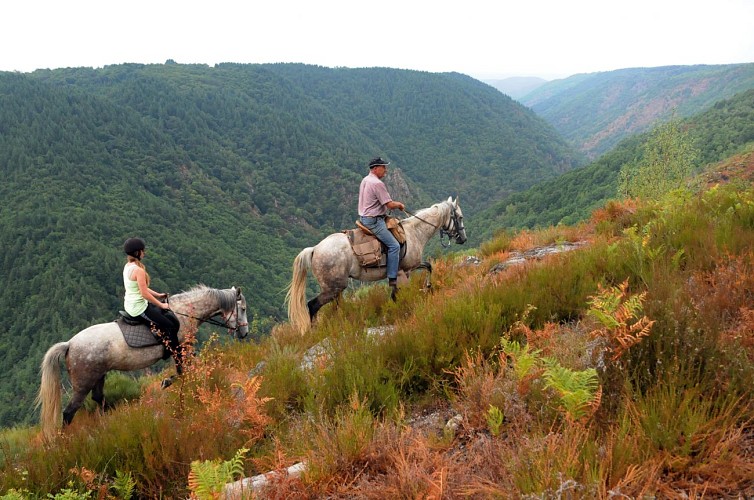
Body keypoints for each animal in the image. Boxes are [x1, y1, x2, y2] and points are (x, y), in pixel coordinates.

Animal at [36, 286, 248, 438]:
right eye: (243, 309)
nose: (245, 333)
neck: (184, 313)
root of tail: (69, 344)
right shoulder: (180, 350)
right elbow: (182, 372)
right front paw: (167, 382)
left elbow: (184, 372)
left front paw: (168, 382)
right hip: (83, 383)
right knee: (69, 412)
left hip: (99, 376)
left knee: (98, 399)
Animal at [286, 197, 464, 334]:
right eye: (460, 217)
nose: (463, 239)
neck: (414, 233)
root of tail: (314, 249)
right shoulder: (407, 269)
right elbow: (425, 270)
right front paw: (425, 288)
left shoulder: (402, 271)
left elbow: (425, 268)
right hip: (332, 288)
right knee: (313, 305)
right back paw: (314, 331)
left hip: (336, 289)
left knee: (336, 306)